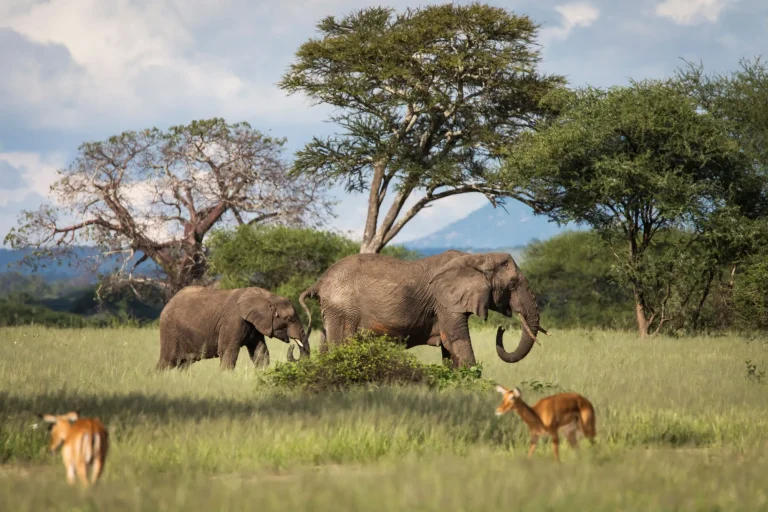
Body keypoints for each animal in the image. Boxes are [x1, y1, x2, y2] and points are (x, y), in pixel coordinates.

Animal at [156, 285, 309, 370]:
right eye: (289, 319)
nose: (293, 345)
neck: (267, 297)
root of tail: (168, 303)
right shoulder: (233, 321)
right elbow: (228, 352)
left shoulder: (254, 325)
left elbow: (260, 352)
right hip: (170, 330)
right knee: (167, 361)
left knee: (184, 364)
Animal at [298, 250, 544, 369]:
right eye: (512, 285)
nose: (502, 329)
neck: (477, 258)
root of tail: (320, 281)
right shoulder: (445, 302)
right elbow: (457, 340)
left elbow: (449, 349)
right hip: (343, 310)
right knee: (342, 345)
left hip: (332, 310)